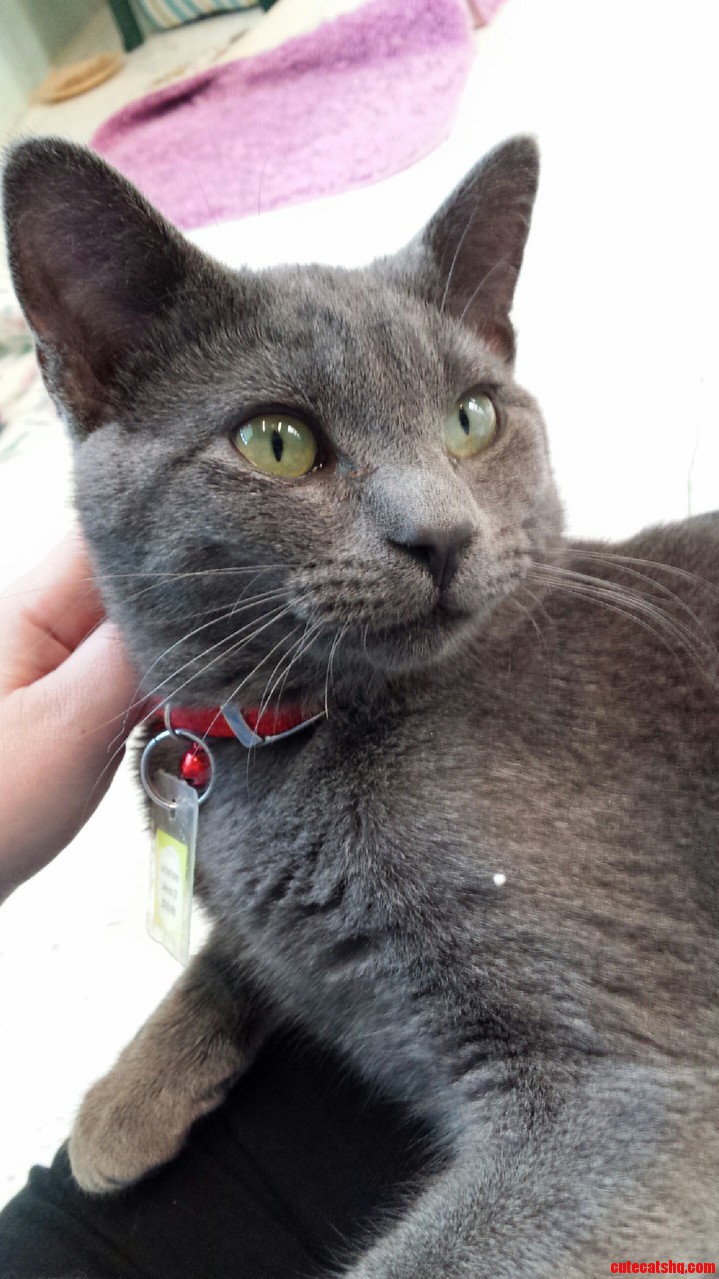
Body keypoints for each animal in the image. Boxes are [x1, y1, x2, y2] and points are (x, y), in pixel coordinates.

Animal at [2, 134, 711, 1273]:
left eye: (471, 417)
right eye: (277, 441)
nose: (440, 534)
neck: (285, 743)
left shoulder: (625, 1092)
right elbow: (241, 939)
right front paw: (123, 1104)